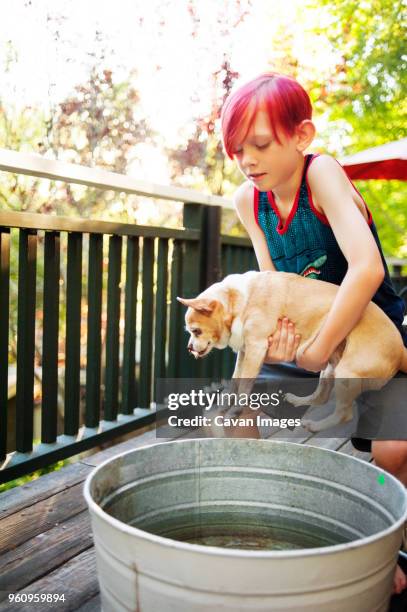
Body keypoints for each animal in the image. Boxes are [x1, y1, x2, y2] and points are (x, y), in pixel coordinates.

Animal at [178, 270, 407, 432]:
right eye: (189, 332)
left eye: (196, 331)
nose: (189, 347)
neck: (238, 299)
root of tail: (401, 351)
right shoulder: (244, 353)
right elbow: (235, 382)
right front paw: (226, 405)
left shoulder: (254, 349)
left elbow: (243, 387)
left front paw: (235, 411)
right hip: (330, 368)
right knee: (321, 397)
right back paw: (299, 401)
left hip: (346, 373)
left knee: (345, 413)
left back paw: (316, 426)